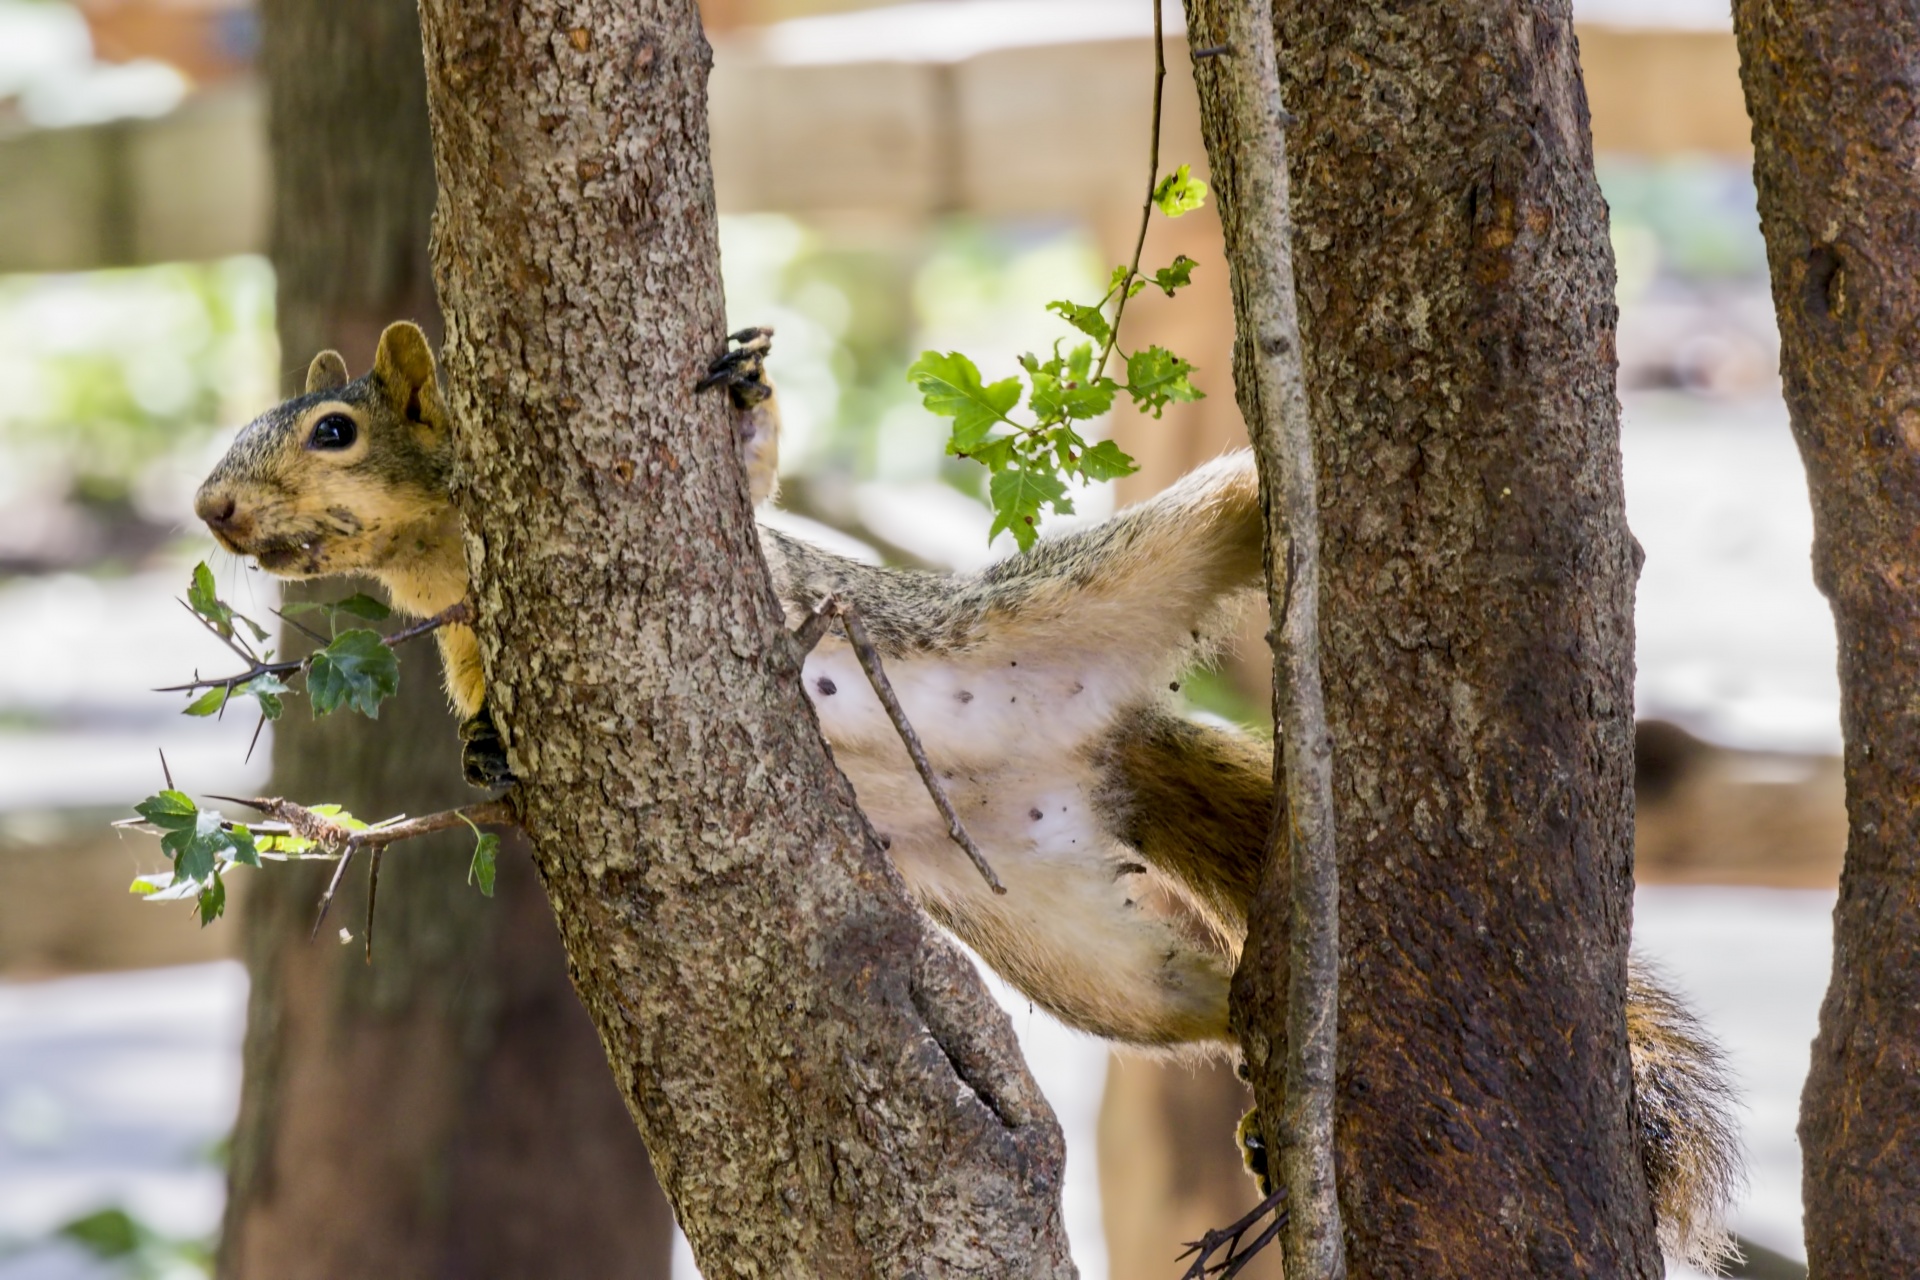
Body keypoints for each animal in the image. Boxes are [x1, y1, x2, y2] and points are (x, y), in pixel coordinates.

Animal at [191, 322, 1743, 1274]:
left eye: (334, 429)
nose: (210, 511)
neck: (450, 560)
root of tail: (1093, 752)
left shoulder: (734, 542)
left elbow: (743, 477)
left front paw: (742, 388)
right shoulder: (464, 648)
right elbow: (482, 735)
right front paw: (484, 760)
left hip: (1116, 574)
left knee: (1233, 507)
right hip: (1086, 953)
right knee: (1201, 993)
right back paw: (1262, 1073)